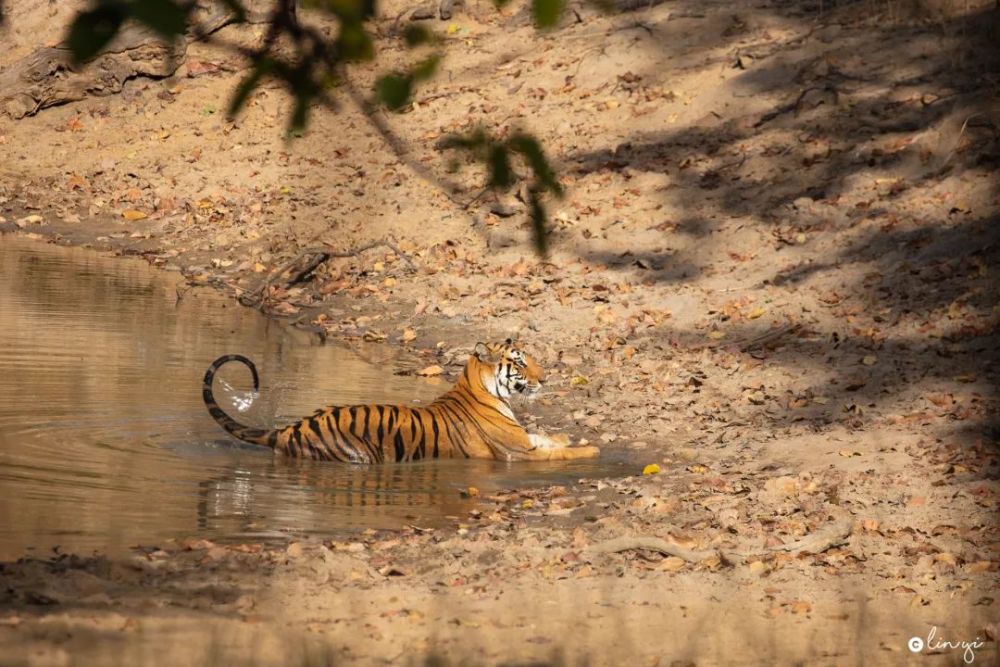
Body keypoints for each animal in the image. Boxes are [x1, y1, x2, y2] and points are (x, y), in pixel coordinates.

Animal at [199, 340, 596, 464]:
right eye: (520, 362)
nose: (545, 378)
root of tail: (289, 428)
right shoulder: (517, 453)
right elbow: (559, 453)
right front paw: (592, 450)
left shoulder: (525, 439)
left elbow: (551, 439)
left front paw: (576, 437)